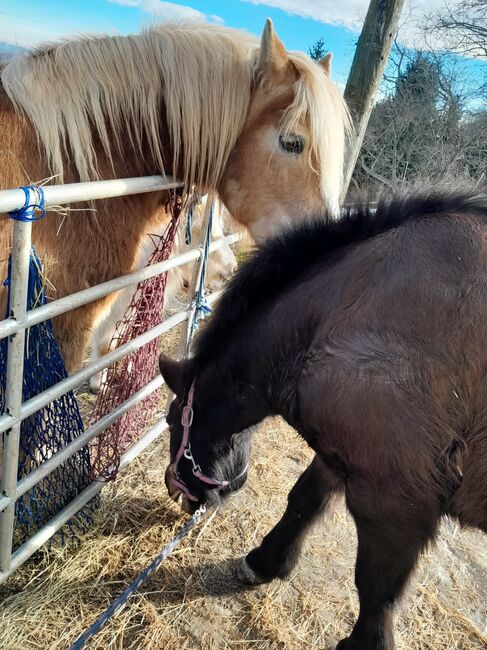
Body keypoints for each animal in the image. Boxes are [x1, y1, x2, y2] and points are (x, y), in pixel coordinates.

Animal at [159, 192, 487, 648]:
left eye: (173, 420)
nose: (176, 491)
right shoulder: (338, 457)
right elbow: (303, 501)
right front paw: (265, 562)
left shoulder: (393, 500)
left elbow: (377, 585)